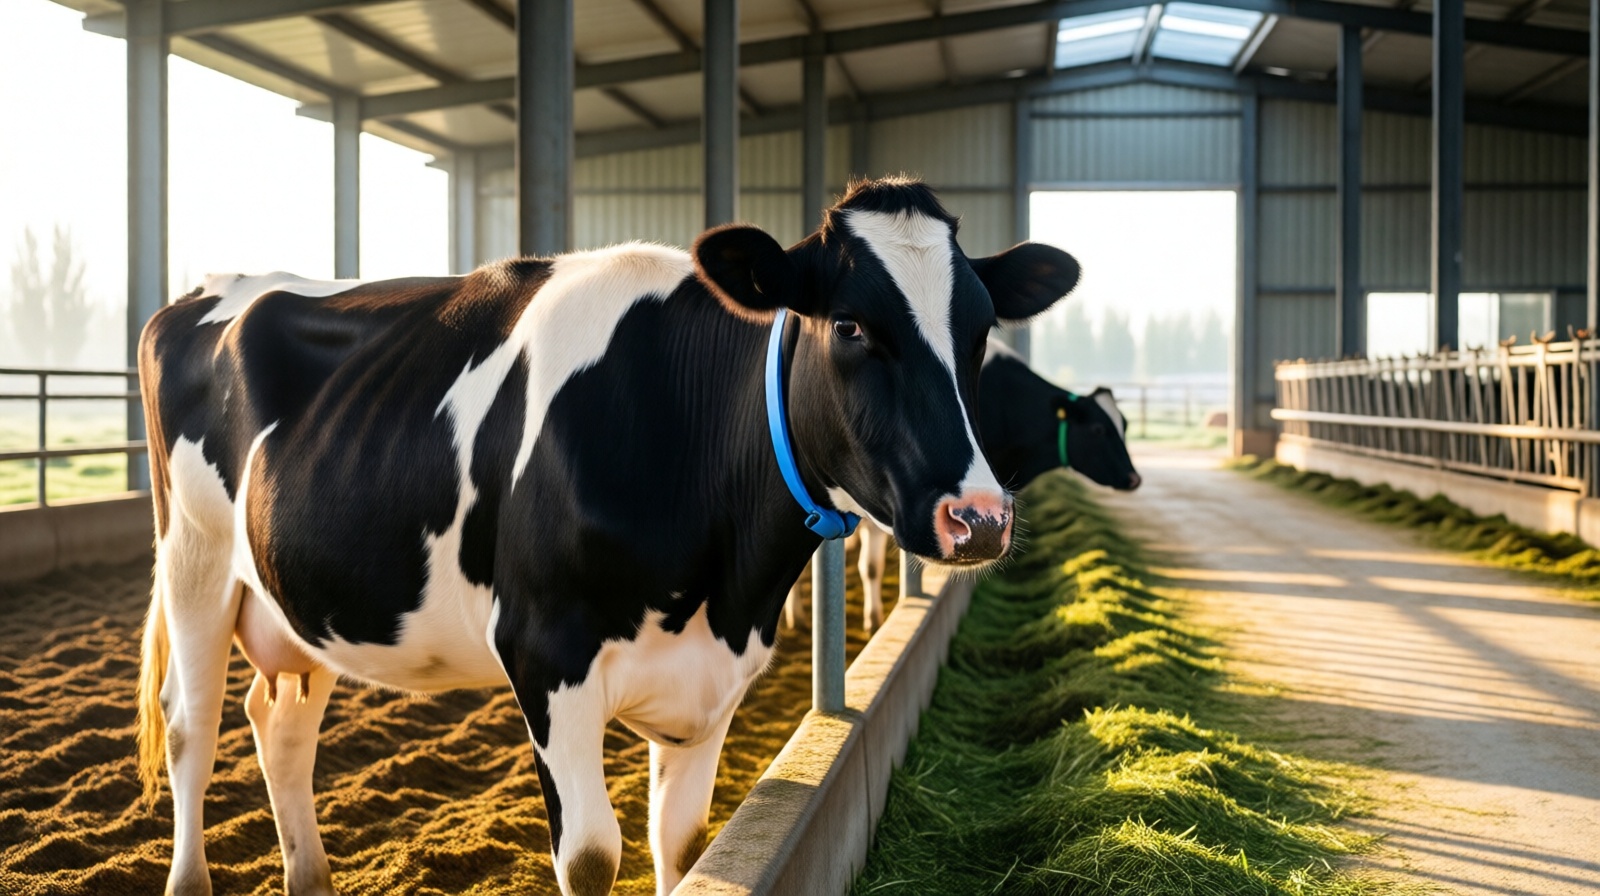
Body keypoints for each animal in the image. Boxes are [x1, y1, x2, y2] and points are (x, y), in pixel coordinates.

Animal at [133, 177, 1081, 896]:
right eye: (849, 324)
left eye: (980, 330)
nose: (980, 516)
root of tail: (212, 287)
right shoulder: (546, 655)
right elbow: (591, 858)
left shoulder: (714, 679)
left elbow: (683, 845)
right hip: (195, 558)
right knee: (191, 726)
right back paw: (189, 877)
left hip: (305, 600)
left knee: (280, 726)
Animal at [784, 336, 1141, 632]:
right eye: (1099, 429)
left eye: (1124, 424)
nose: (1135, 478)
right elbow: (871, 565)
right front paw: (873, 620)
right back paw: (796, 616)